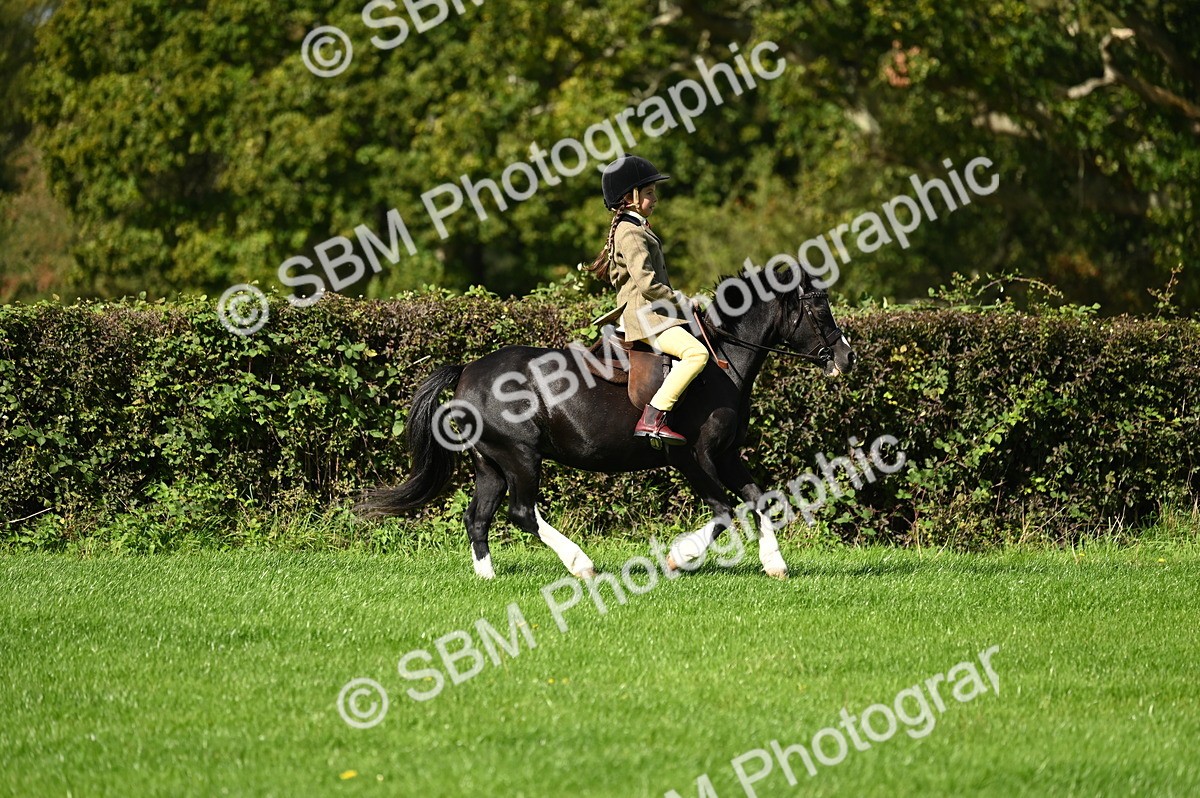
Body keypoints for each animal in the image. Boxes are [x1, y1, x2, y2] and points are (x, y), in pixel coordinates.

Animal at [357, 263, 855, 579]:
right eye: (818, 309)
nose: (846, 358)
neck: (721, 362)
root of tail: (467, 372)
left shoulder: (727, 454)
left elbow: (758, 499)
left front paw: (775, 564)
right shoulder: (695, 458)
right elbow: (723, 512)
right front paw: (677, 558)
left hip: (490, 464)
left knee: (477, 518)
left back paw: (488, 578)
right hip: (520, 456)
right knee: (521, 512)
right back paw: (581, 565)